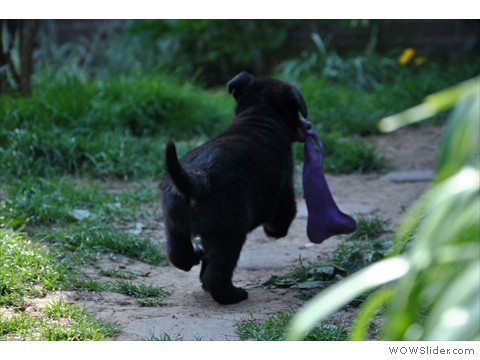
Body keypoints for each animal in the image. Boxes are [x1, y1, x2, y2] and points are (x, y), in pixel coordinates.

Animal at [161, 72, 308, 304]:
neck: (259, 117)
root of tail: (199, 180)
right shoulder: (284, 189)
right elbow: (287, 213)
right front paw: (275, 231)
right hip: (229, 233)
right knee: (217, 273)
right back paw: (233, 295)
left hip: (174, 223)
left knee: (179, 255)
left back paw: (196, 256)